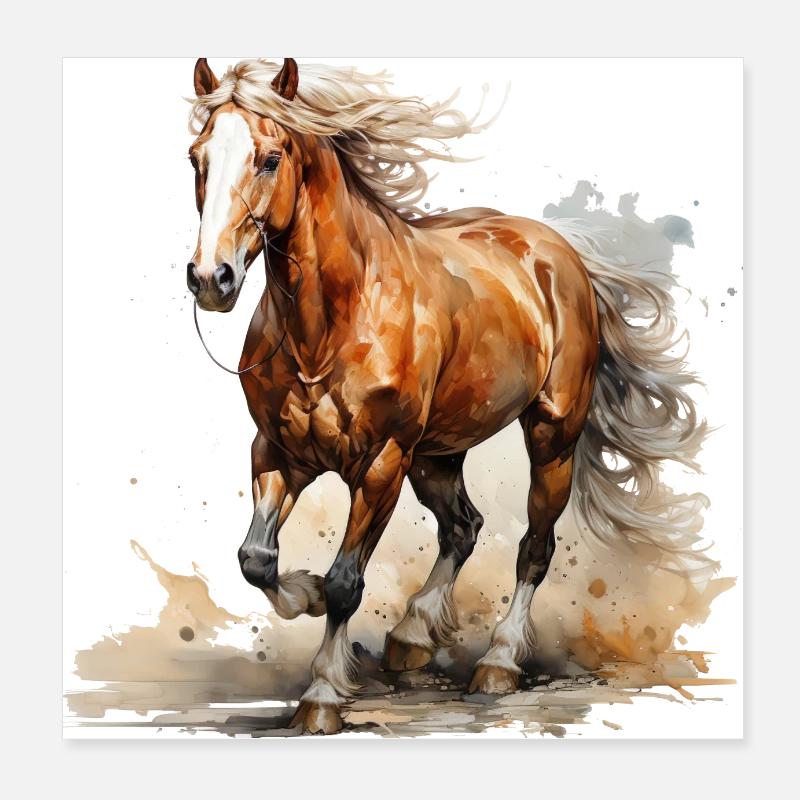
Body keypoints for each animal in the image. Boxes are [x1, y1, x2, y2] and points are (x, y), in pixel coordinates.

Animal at [184, 57, 711, 734]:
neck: (334, 321)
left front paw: (322, 693)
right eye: (196, 157)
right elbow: (256, 559)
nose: (210, 278)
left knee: (534, 547)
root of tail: (560, 252)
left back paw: (499, 663)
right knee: (463, 526)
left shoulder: (380, 464)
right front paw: (303, 596)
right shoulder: (277, 452)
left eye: (270, 158)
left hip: (550, 438)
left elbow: (345, 582)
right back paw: (411, 636)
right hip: (437, 455)